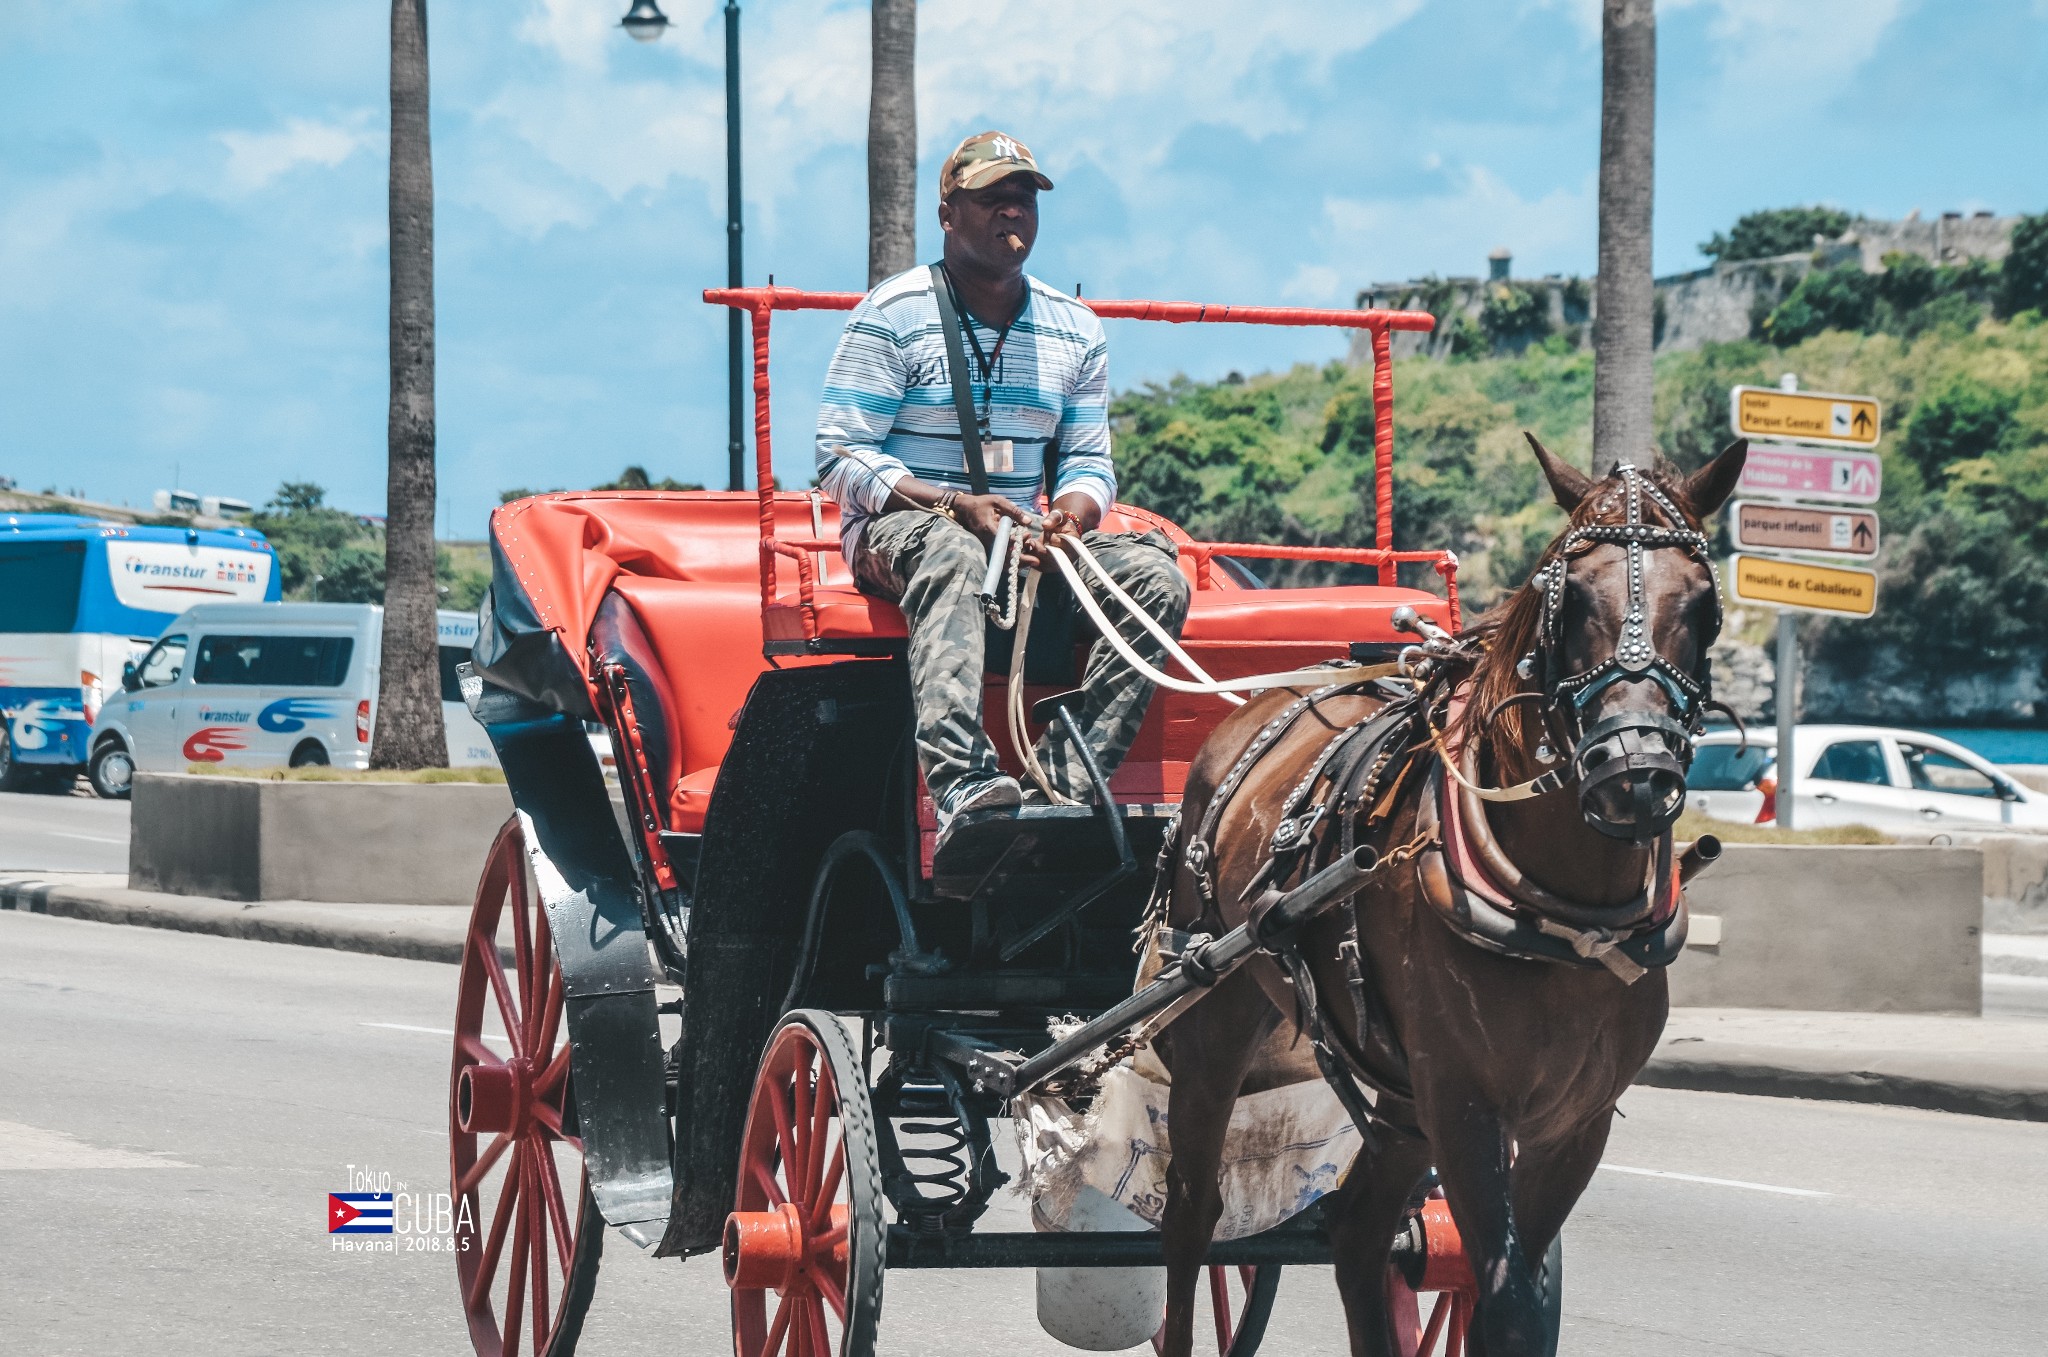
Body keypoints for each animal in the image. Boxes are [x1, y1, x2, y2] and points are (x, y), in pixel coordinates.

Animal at [1155, 435, 1744, 1357]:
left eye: (1706, 605)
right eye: (1571, 599)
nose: (1636, 771)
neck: (1562, 918)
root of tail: (1266, 699)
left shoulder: (1572, 1121)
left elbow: (1512, 1293)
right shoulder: (1466, 1108)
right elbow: (1505, 1299)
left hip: (1397, 1091)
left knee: (1358, 1232)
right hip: (1217, 1012)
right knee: (1191, 1217)